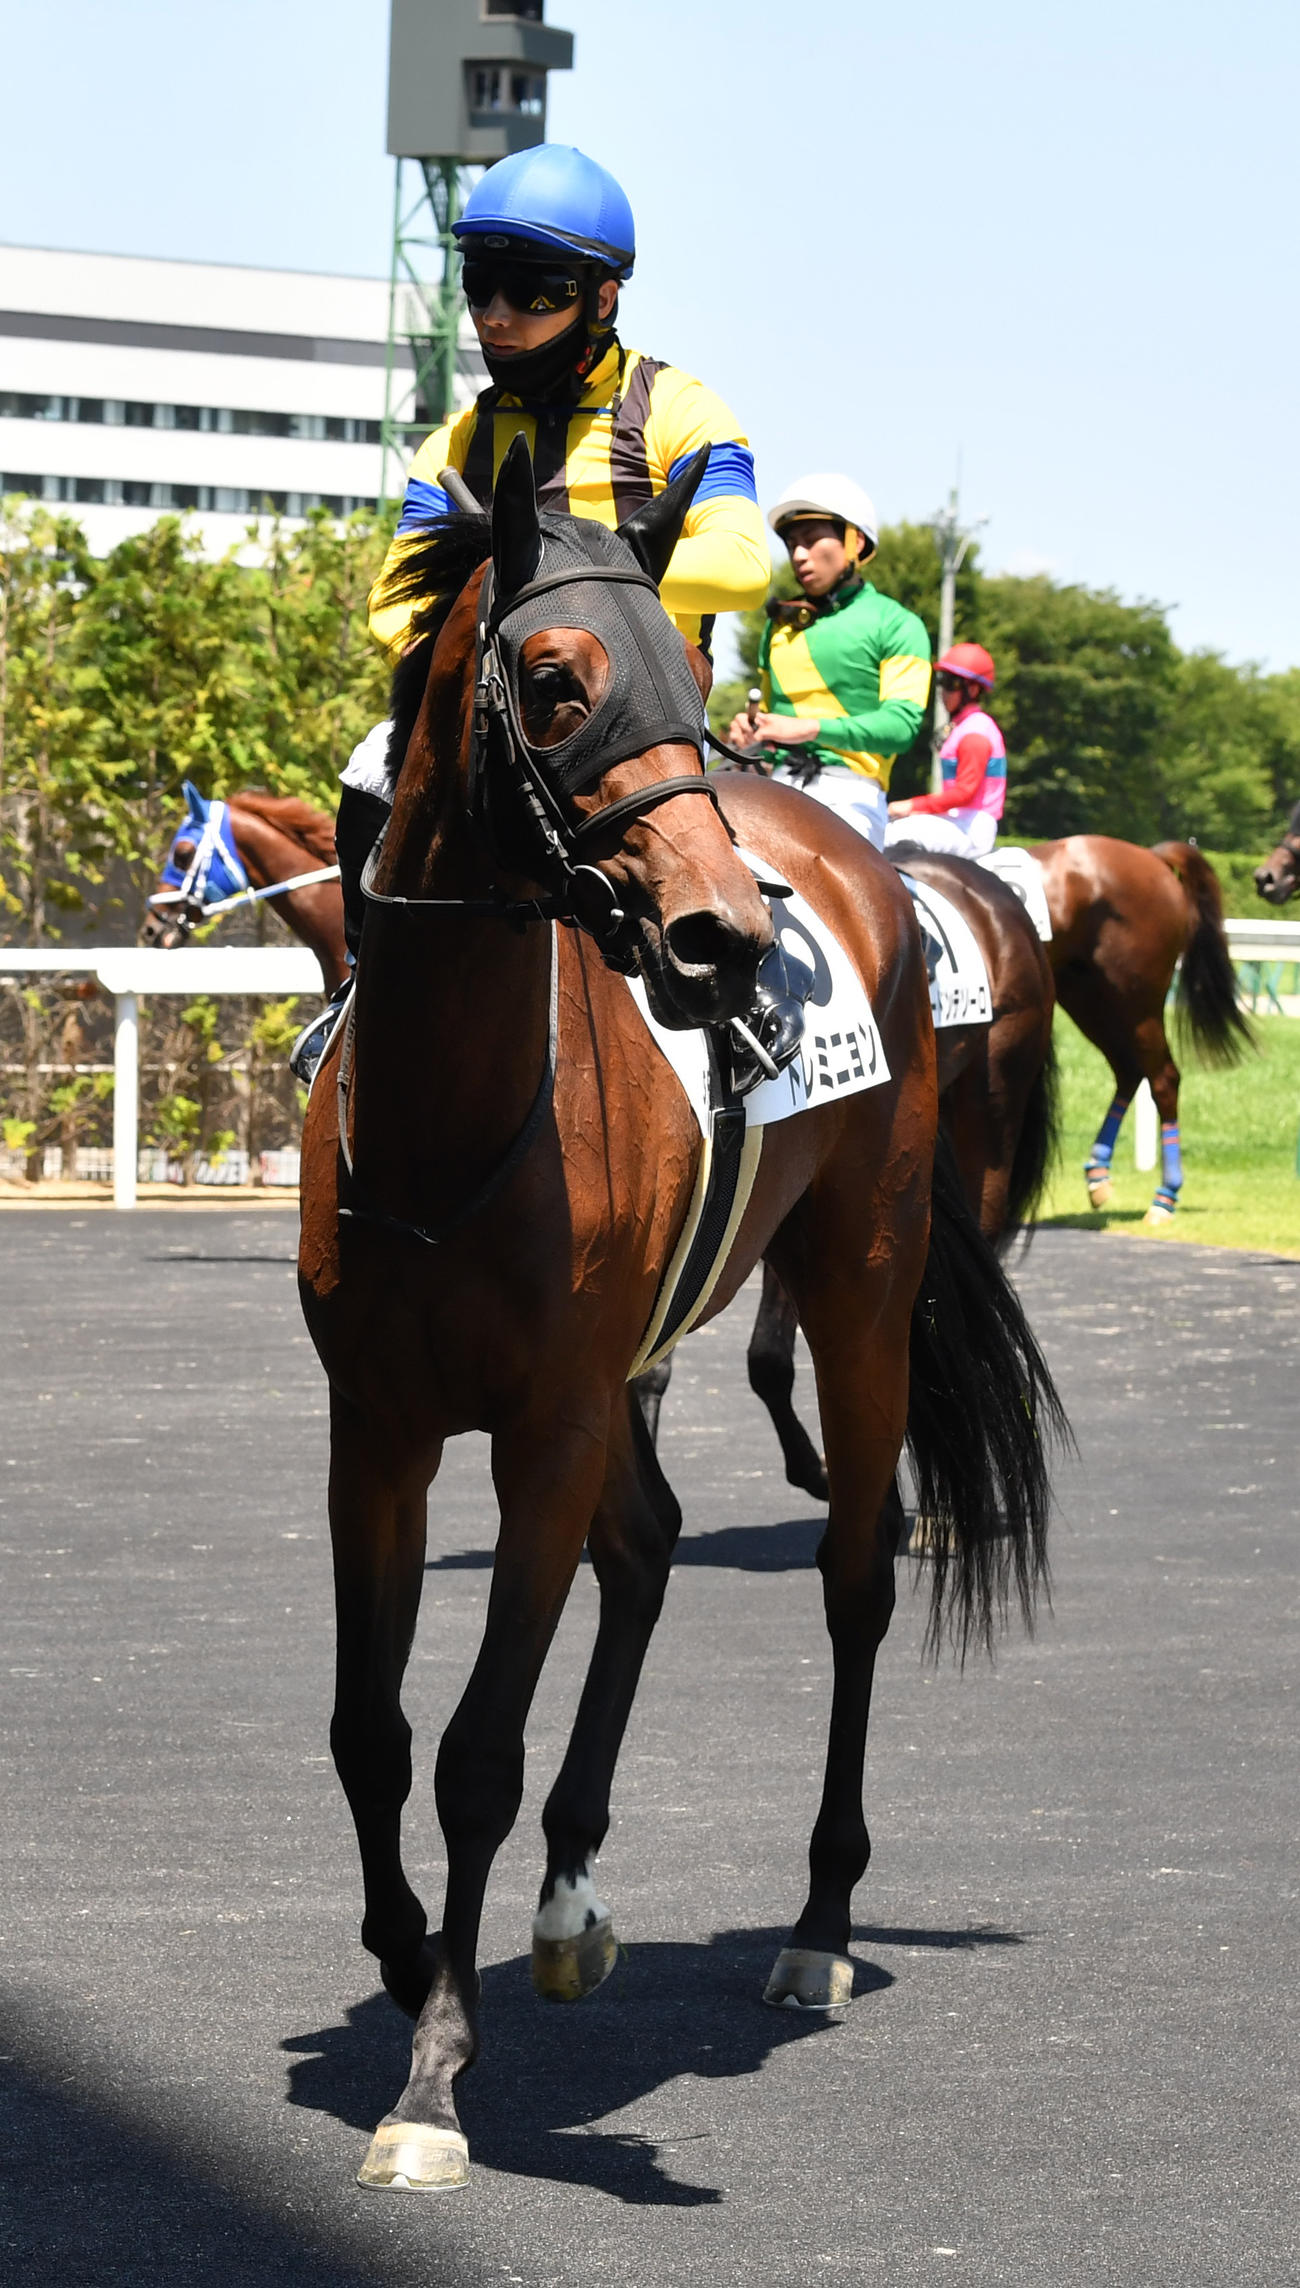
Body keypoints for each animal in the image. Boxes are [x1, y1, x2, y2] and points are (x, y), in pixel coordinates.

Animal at [296, 436, 1064, 2193]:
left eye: (680, 674)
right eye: (557, 681)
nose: (722, 936)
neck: (453, 1121)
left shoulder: (546, 1421)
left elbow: (474, 1751)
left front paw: (435, 2074)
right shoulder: (379, 1427)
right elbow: (369, 1729)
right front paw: (406, 1957)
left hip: (857, 1287)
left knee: (855, 1578)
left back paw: (819, 1924)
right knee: (644, 1550)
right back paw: (571, 1903)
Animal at [1030, 835, 1250, 1223]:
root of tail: (1151, 857)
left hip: (1135, 1000)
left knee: (1163, 1077)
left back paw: (1165, 1197)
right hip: (1088, 997)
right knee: (1130, 1069)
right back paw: (1098, 1174)